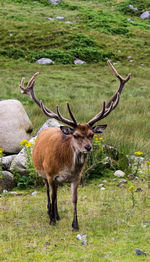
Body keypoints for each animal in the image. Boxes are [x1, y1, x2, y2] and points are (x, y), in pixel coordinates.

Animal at [19, 61, 130, 229]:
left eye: (91, 134)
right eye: (76, 135)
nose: (88, 147)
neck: (67, 166)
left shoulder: (77, 177)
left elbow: (74, 199)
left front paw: (75, 224)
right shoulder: (50, 174)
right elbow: (52, 196)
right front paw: (51, 220)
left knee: (56, 194)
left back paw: (57, 215)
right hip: (42, 172)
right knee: (49, 193)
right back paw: (51, 214)